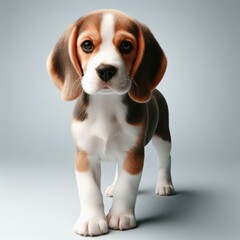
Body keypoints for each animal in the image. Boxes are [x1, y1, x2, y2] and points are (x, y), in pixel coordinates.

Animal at [47, 8, 174, 236]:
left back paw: (165, 185)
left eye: (126, 45)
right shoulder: (84, 155)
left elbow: (127, 187)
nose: (105, 70)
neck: (106, 104)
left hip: (162, 136)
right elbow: (89, 191)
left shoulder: (133, 154)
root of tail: (154, 91)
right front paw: (91, 220)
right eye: (87, 45)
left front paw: (120, 216)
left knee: (164, 159)